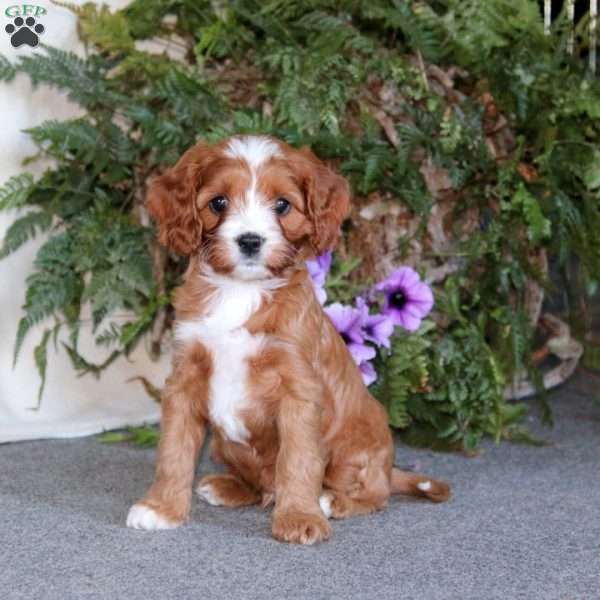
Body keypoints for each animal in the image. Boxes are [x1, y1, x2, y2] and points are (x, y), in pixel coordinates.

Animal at [127, 135, 450, 544]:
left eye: (282, 205)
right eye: (218, 203)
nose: (250, 241)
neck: (241, 290)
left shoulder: (299, 389)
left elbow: (297, 459)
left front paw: (299, 518)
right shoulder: (184, 379)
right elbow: (174, 450)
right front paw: (161, 508)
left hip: (360, 449)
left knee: (376, 494)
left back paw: (333, 501)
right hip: (224, 445)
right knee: (261, 487)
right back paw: (228, 487)